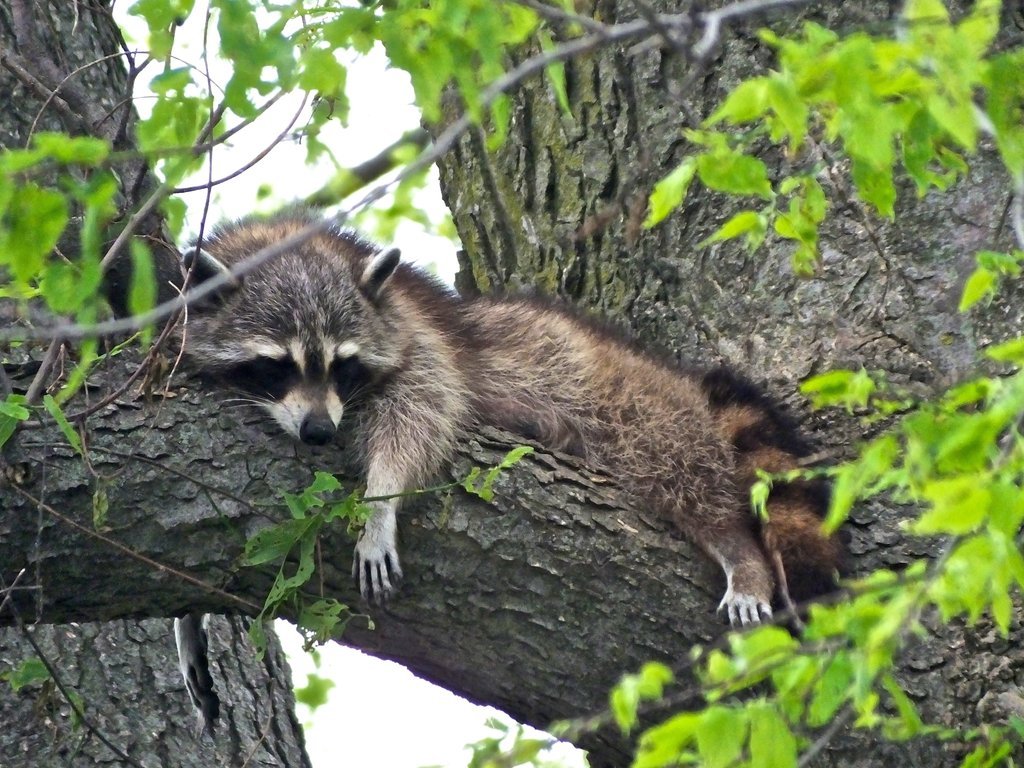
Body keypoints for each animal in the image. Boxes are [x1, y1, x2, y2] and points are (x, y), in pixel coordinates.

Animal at [178, 210, 839, 626]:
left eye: (342, 367)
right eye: (276, 367)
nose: (318, 431)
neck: (295, 240)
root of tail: (680, 377)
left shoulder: (420, 336)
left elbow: (422, 411)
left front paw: (381, 499)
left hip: (639, 407)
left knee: (682, 471)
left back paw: (736, 548)